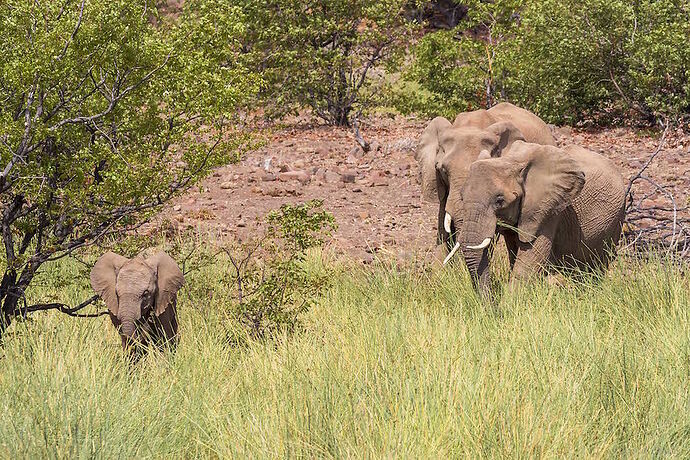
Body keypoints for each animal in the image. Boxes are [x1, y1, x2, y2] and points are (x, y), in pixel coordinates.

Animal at [448, 140, 628, 292]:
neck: (510, 161)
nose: (492, 308)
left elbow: (529, 262)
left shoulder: (547, 210)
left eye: (499, 200)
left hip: (615, 221)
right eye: (462, 197)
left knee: (596, 267)